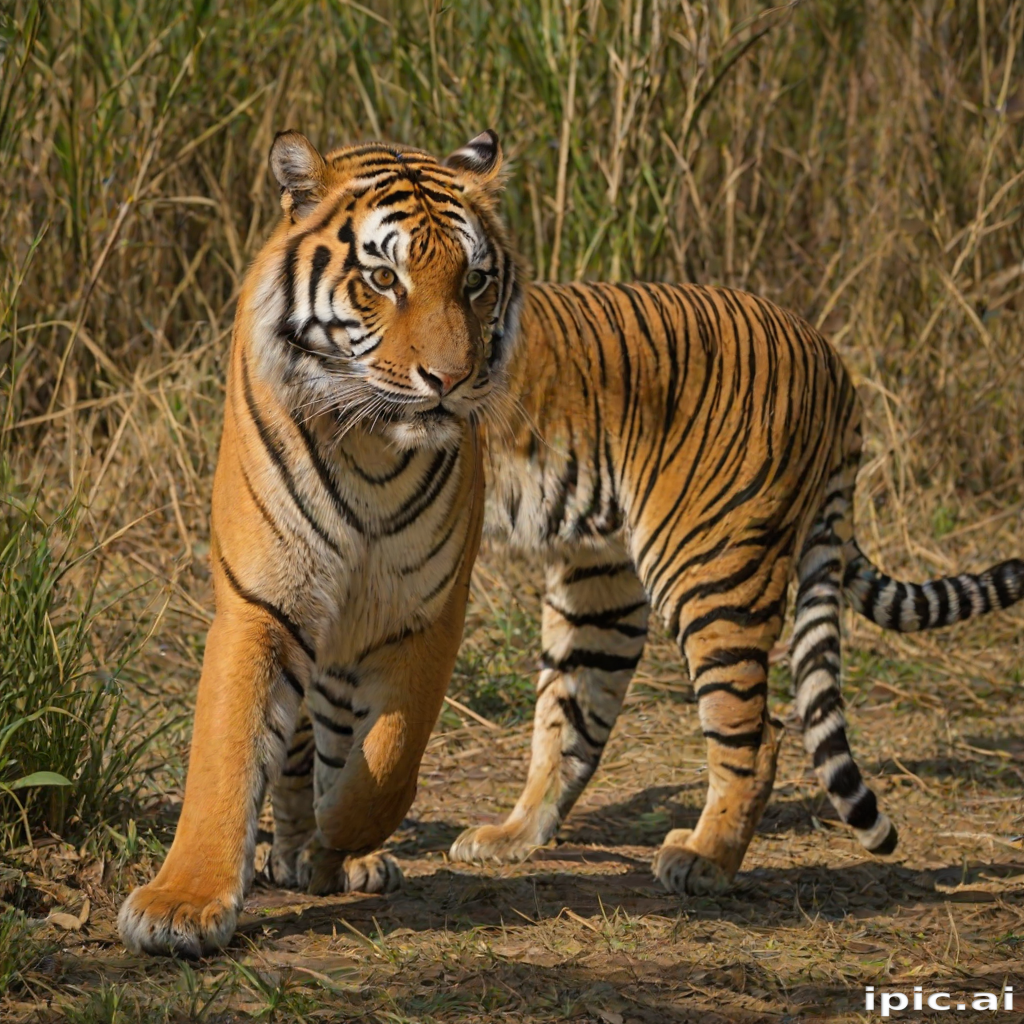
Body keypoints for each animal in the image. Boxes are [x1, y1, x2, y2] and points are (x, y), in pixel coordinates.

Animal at [118, 128, 1024, 958]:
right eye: (382, 278)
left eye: (475, 280)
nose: (449, 382)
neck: (368, 435)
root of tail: (828, 351)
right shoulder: (270, 600)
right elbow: (244, 752)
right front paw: (203, 895)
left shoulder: (425, 607)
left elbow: (385, 761)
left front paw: (336, 846)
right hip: (601, 587)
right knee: (577, 726)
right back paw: (508, 837)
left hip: (712, 567)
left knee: (757, 734)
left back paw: (705, 859)